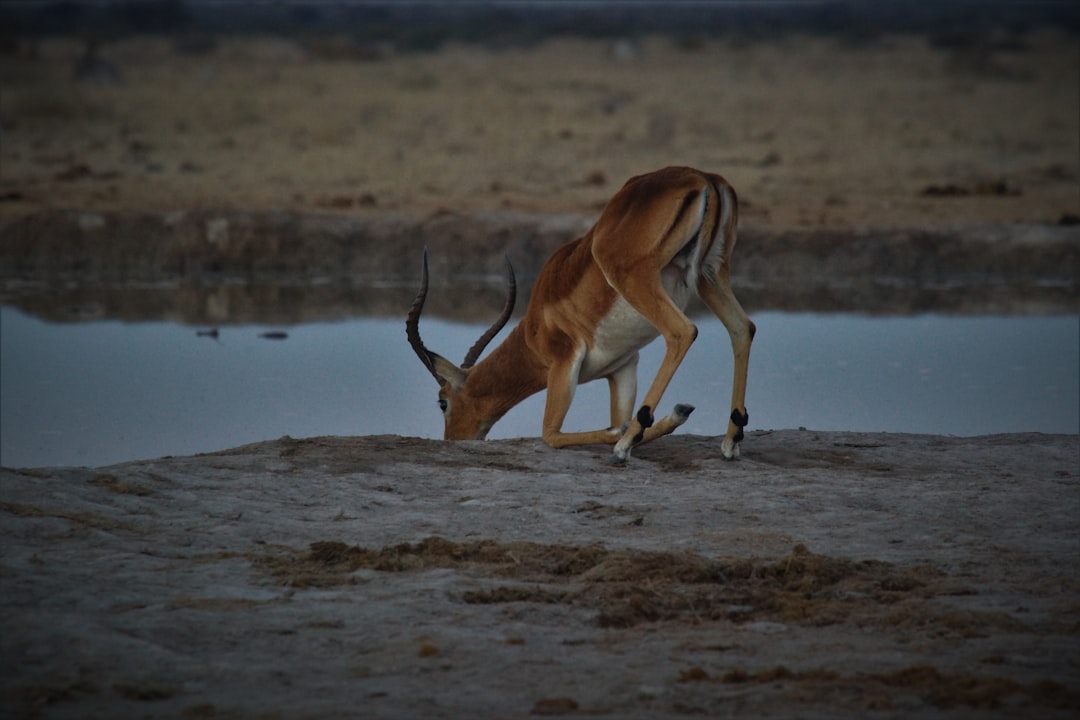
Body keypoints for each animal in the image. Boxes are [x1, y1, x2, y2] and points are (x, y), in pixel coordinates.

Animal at [408, 166, 756, 464]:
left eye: (443, 401)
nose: (453, 440)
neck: (535, 330)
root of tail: (703, 178)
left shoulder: (564, 363)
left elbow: (550, 434)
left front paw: (628, 432)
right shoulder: (623, 368)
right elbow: (618, 414)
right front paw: (654, 421)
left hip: (638, 280)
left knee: (682, 332)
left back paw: (624, 445)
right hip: (710, 275)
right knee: (743, 328)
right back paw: (730, 441)